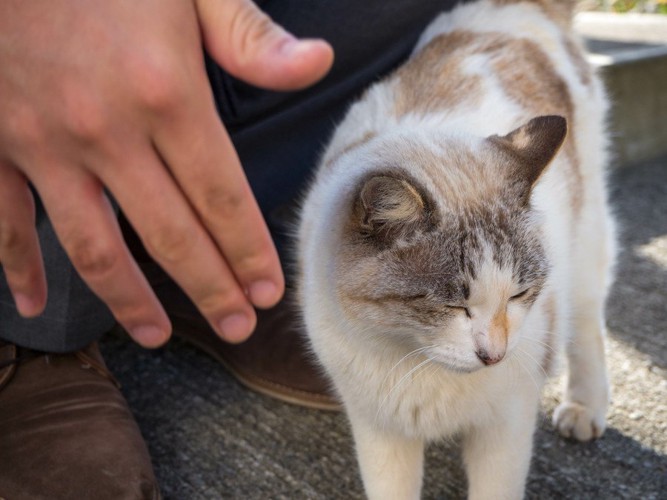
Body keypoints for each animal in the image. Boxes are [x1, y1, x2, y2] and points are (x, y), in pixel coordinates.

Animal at [298, 0, 616, 498]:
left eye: (519, 295)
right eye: (452, 305)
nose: (494, 355)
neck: (419, 365)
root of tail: (519, 7)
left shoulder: (505, 427)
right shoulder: (379, 430)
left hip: (586, 244)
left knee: (587, 322)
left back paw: (586, 406)